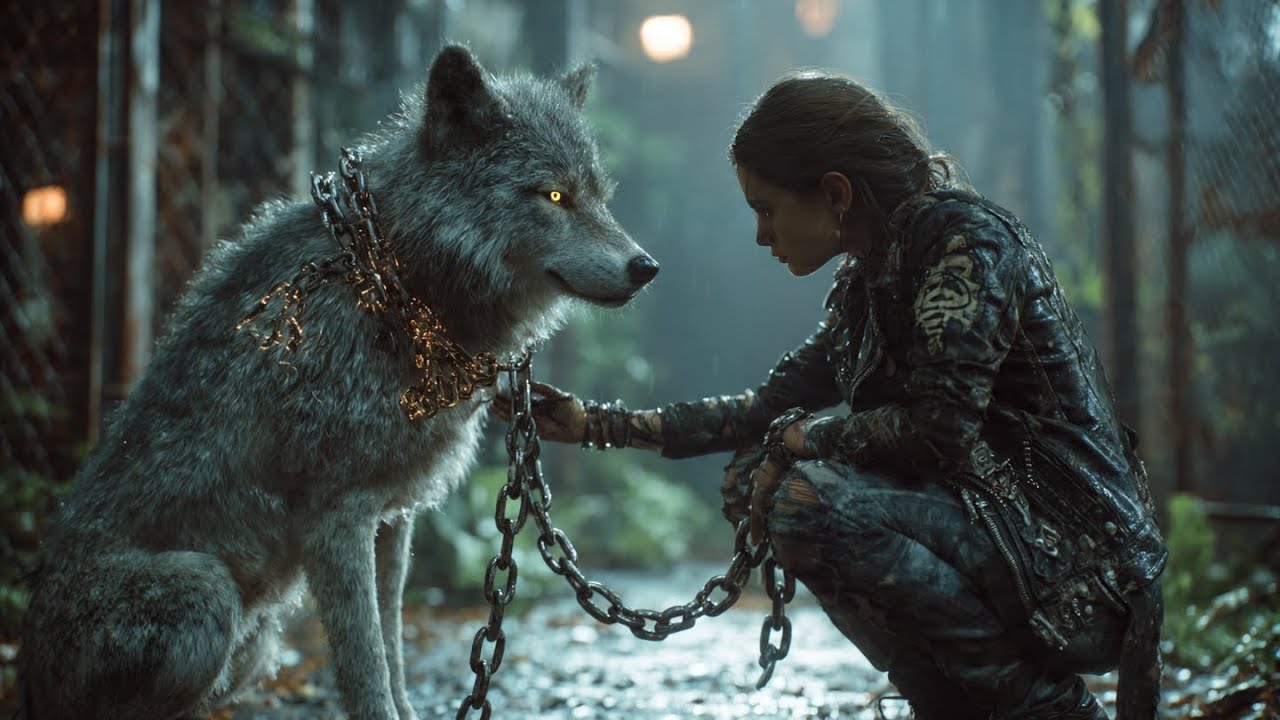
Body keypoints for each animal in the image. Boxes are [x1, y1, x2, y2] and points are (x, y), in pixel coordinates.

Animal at [19, 45, 656, 720]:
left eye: (601, 196)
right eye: (555, 194)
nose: (646, 267)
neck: (399, 287)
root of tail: (27, 672)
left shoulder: (392, 521)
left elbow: (393, 656)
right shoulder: (336, 519)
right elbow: (366, 669)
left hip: (255, 642)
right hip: (207, 591)